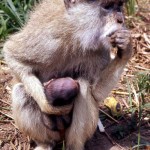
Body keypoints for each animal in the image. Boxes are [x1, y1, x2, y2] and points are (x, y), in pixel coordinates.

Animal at [3, 0, 132, 149]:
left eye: (119, 6)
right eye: (107, 7)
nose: (121, 19)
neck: (78, 32)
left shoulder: (100, 49)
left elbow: (95, 93)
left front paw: (125, 48)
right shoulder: (49, 38)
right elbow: (12, 55)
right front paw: (49, 106)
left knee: (83, 85)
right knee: (20, 91)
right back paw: (45, 144)